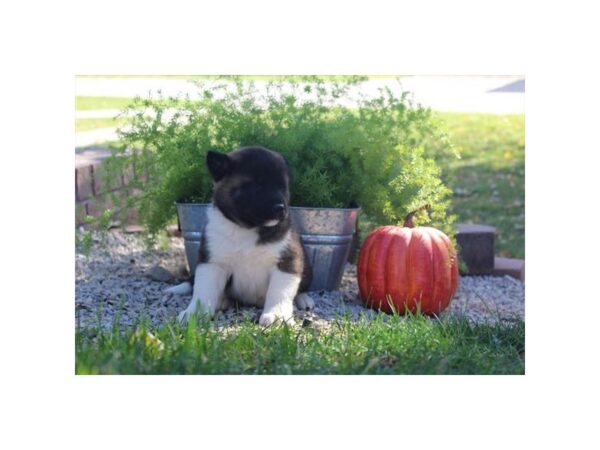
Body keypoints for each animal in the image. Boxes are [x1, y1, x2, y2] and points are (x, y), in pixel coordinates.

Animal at [166, 146, 312, 326]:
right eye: (257, 185)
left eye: (283, 187)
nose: (281, 208)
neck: (246, 229)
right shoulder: (213, 263)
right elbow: (203, 290)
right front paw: (194, 313)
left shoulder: (288, 260)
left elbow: (280, 292)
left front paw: (277, 315)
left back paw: (303, 299)